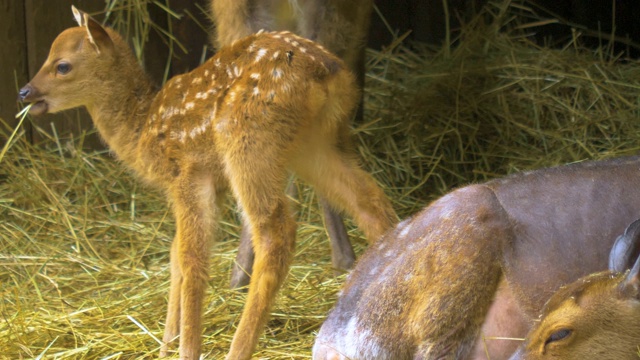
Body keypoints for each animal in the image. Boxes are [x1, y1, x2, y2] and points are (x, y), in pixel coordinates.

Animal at [18, 6, 396, 360]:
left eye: (62, 65)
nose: (24, 91)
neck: (143, 129)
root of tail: (325, 72)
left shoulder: (188, 174)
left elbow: (191, 258)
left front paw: (186, 348)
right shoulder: (208, 184)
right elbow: (175, 254)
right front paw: (166, 345)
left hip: (248, 141)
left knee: (275, 232)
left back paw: (238, 348)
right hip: (316, 143)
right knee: (370, 201)